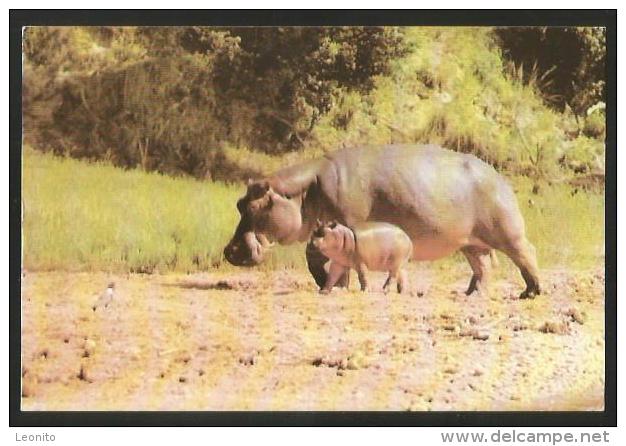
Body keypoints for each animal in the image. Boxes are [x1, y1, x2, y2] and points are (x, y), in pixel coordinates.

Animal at [222, 145, 540, 298]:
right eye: (238, 204)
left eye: (258, 204)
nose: (229, 251)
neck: (301, 191)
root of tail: (498, 175)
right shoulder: (320, 229)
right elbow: (313, 259)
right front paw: (326, 284)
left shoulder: (343, 224)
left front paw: (341, 286)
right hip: (469, 243)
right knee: (483, 267)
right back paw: (472, 294)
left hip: (507, 233)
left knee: (526, 254)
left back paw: (530, 292)